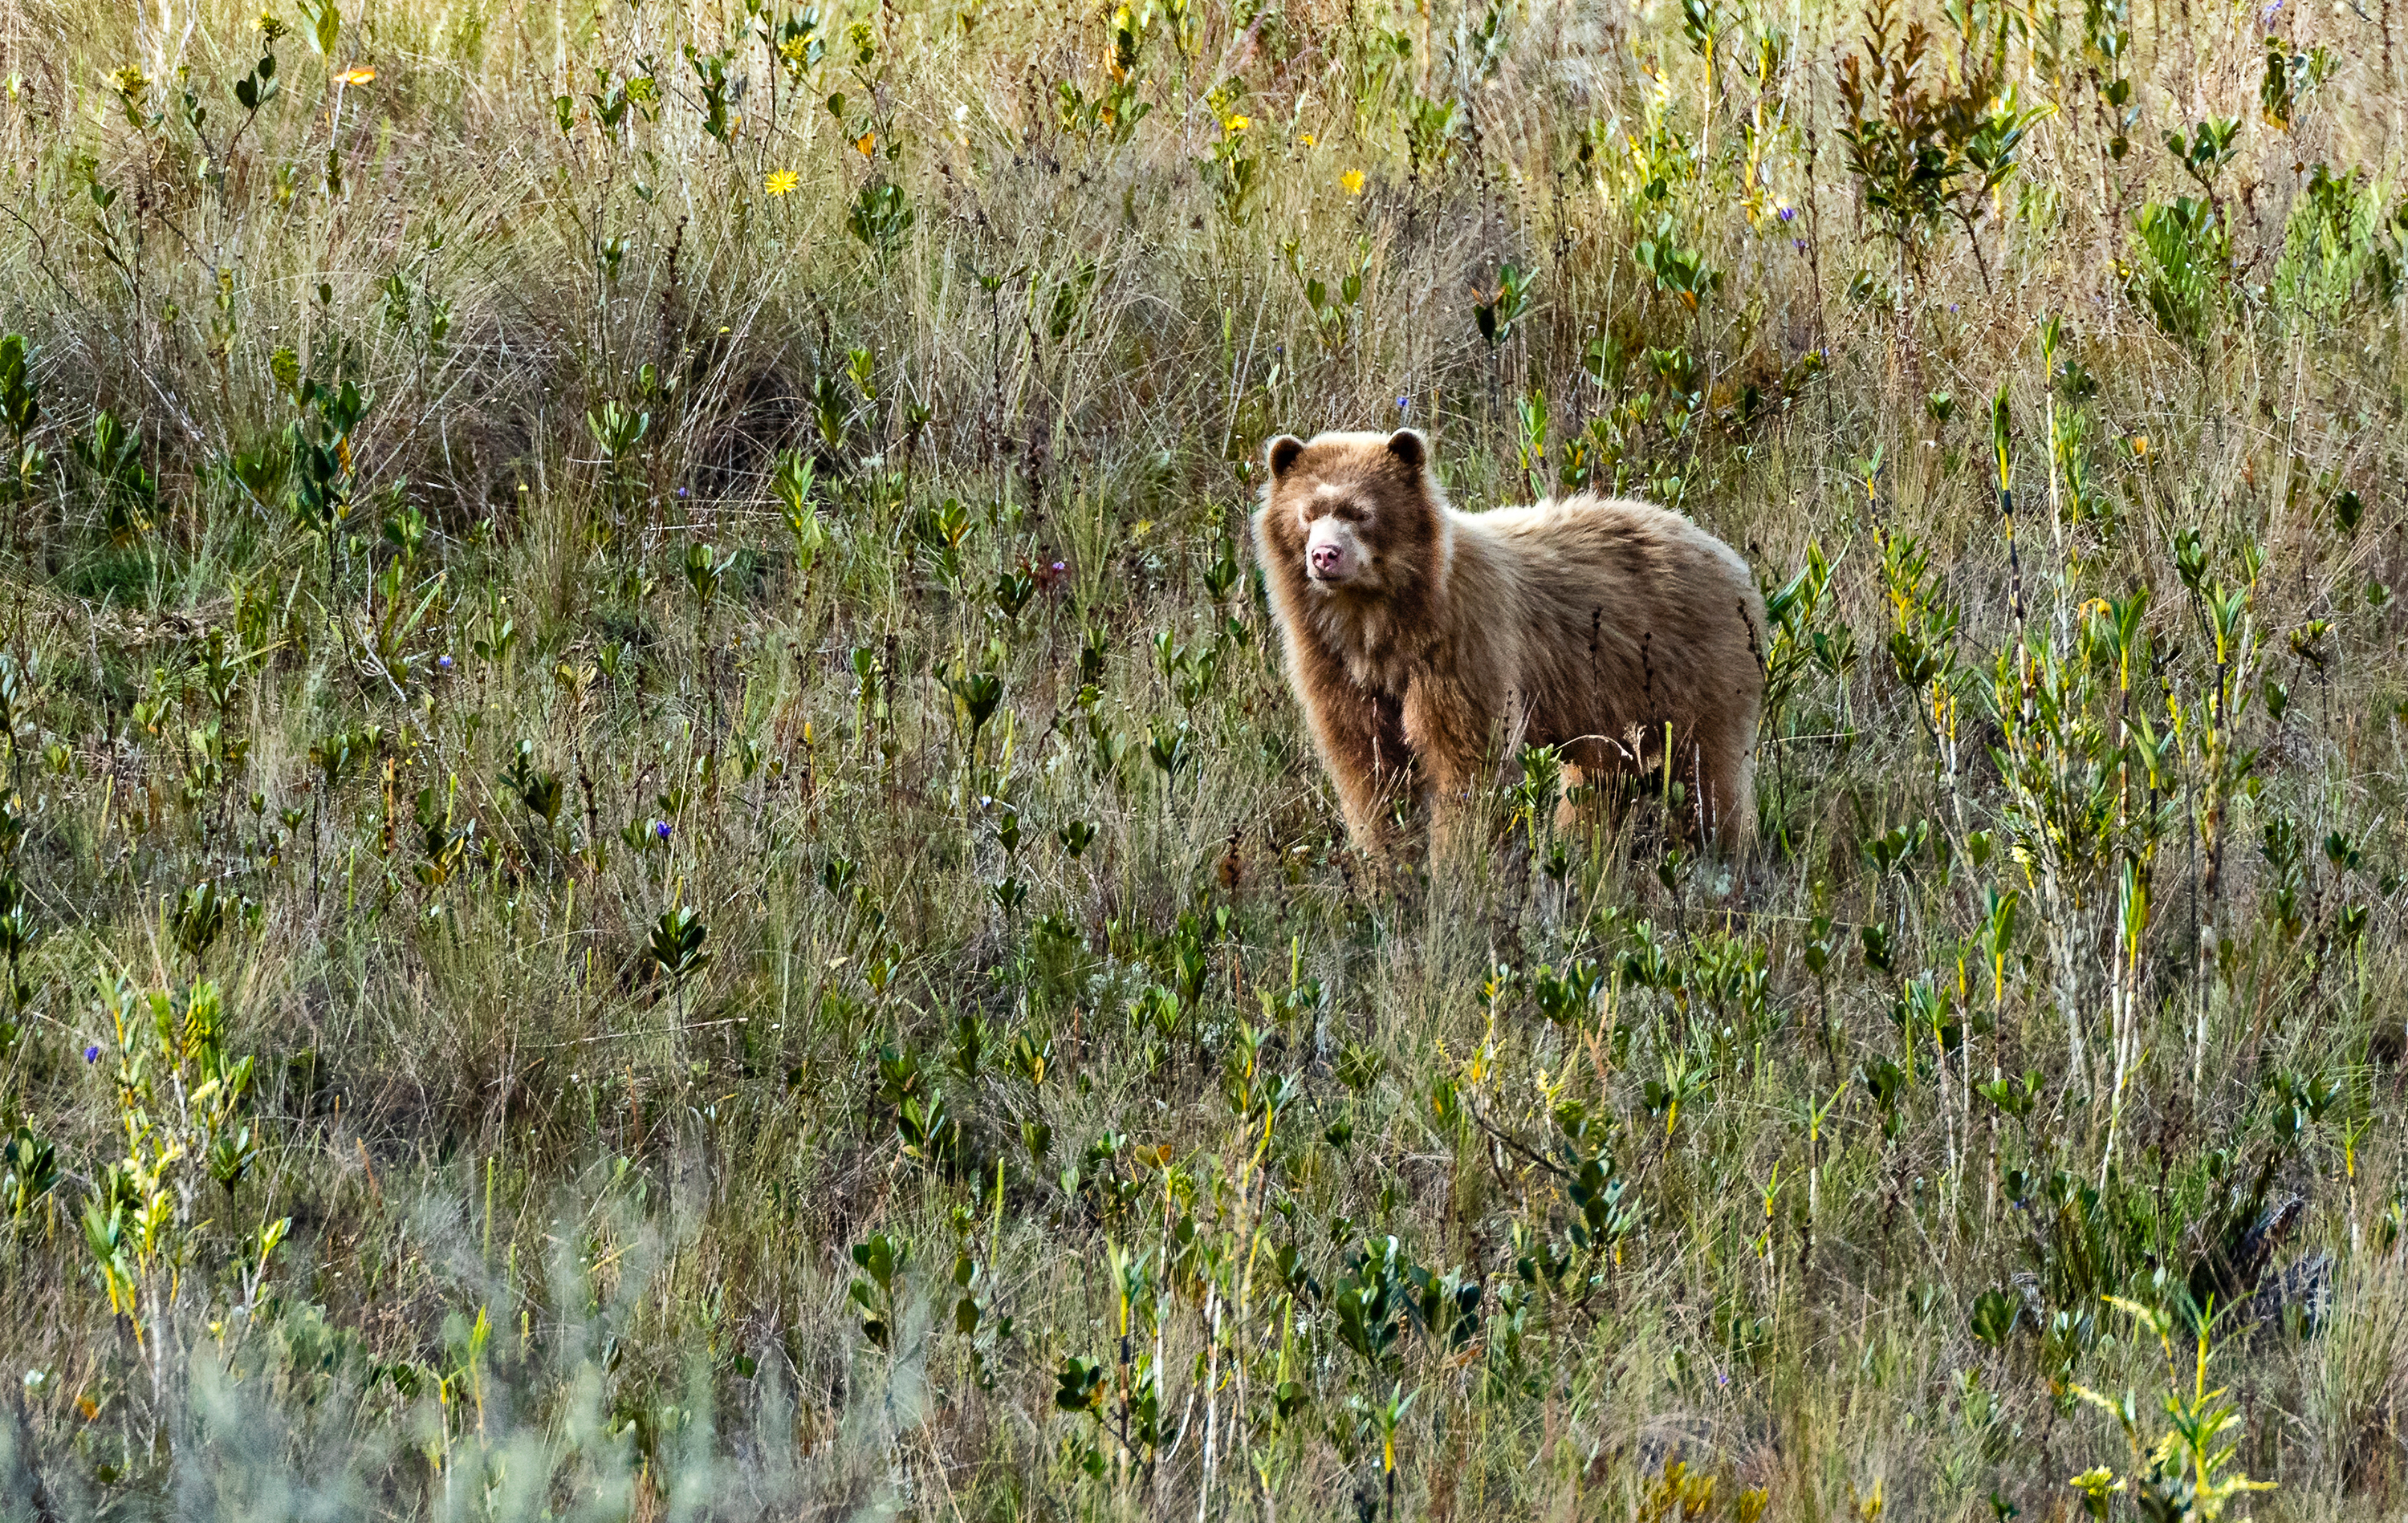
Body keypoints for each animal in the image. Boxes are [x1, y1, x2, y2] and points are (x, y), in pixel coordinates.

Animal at [1262, 428, 1772, 851]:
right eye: (1307, 514)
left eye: (1361, 512)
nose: (1325, 555)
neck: (1377, 624)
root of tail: (1726, 554)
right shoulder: (1334, 666)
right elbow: (1369, 768)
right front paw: (1389, 869)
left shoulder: (1462, 644)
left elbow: (1468, 762)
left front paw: (1458, 868)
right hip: (1616, 705)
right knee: (1600, 787)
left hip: (1697, 670)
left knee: (1709, 776)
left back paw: (1723, 855)